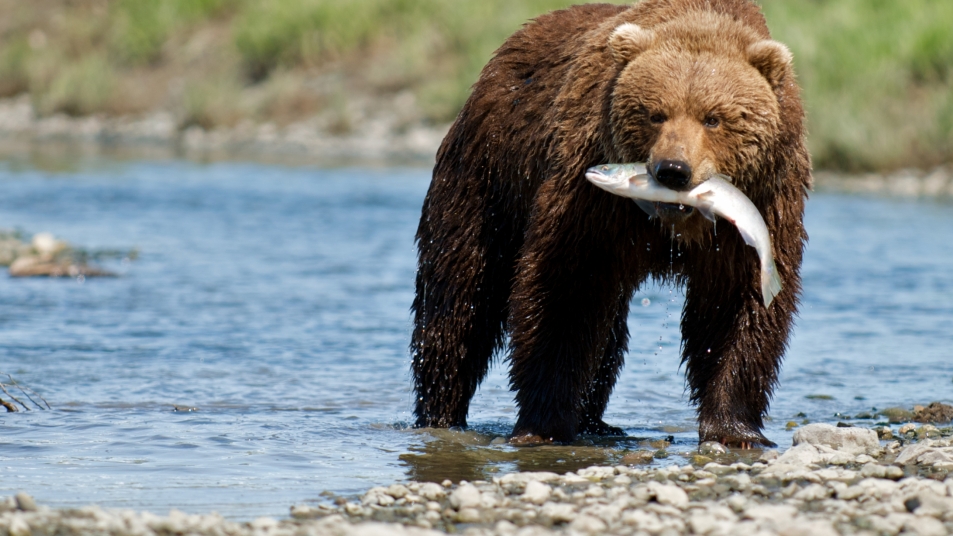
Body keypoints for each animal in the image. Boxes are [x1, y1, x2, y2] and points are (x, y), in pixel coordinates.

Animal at [410, 0, 812, 448]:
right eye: (656, 114)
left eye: (713, 118)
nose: (673, 170)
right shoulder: (589, 198)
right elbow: (564, 291)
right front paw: (543, 424)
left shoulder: (762, 208)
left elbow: (736, 307)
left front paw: (734, 428)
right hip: (487, 179)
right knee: (460, 300)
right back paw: (440, 411)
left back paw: (595, 421)